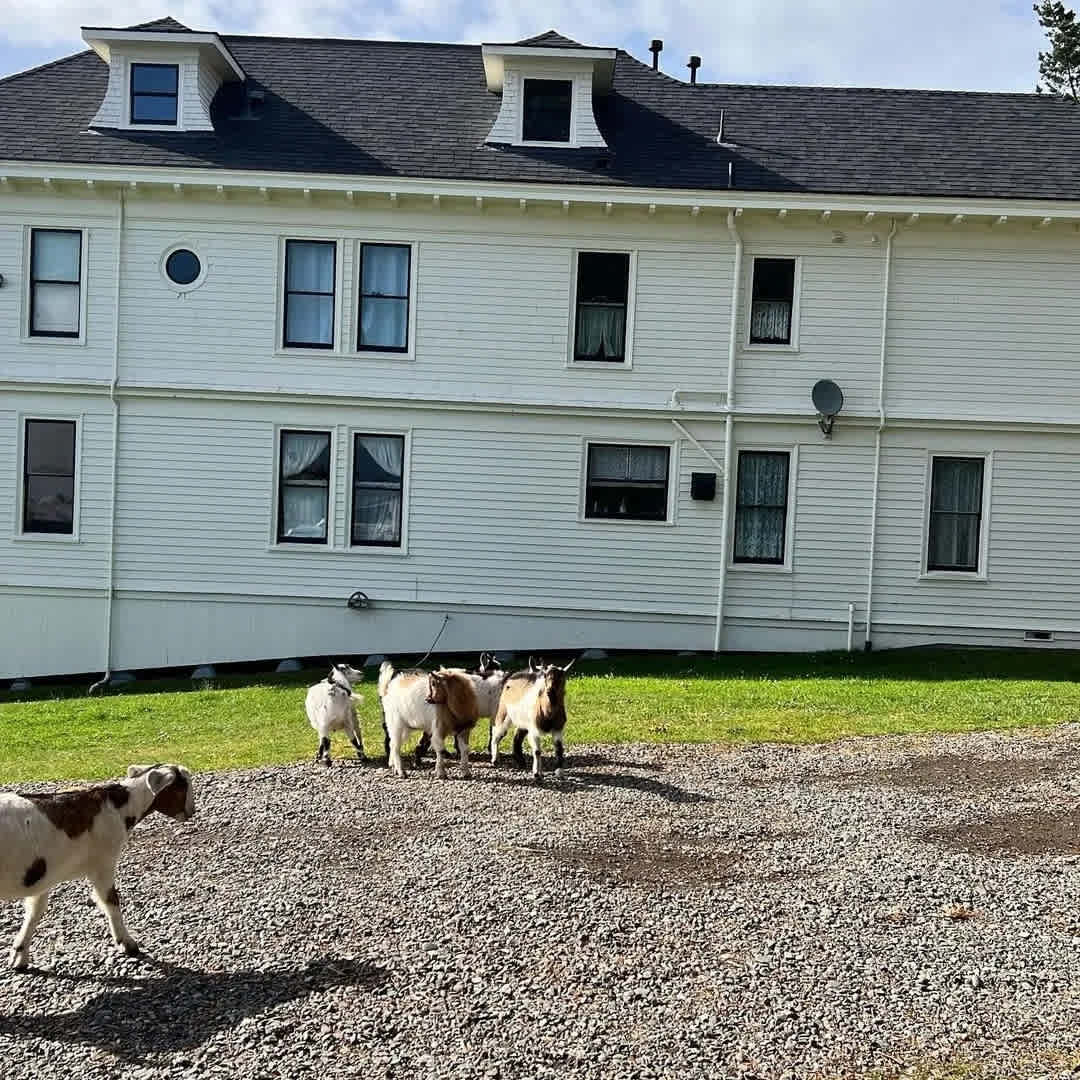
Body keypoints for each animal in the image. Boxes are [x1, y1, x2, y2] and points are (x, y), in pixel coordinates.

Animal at [1, 760, 194, 972]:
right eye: (183, 786)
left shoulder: (45, 876)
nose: (192, 811)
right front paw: (128, 944)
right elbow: (111, 902)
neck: (120, 808)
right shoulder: (104, 863)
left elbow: (35, 912)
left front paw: (19, 956)